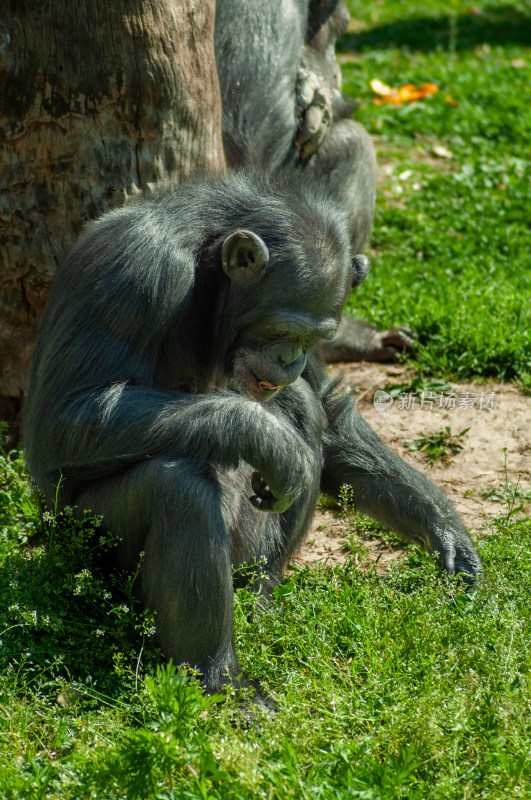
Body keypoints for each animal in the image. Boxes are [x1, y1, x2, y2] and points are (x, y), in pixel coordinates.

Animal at [25, 170, 482, 700]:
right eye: (282, 327)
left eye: (314, 337)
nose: (290, 357)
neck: (205, 274)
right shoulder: (135, 273)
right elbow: (69, 414)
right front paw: (268, 440)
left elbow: (328, 407)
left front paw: (443, 529)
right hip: (83, 552)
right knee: (174, 489)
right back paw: (220, 680)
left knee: (303, 405)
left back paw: (259, 598)